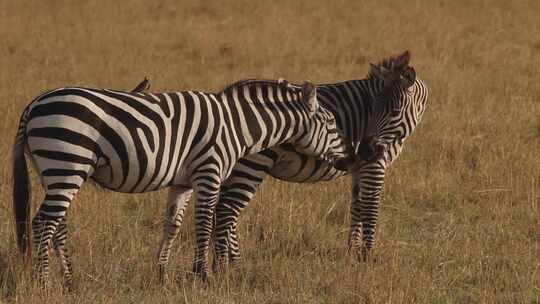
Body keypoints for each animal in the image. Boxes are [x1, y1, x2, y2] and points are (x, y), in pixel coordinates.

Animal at [10, 78, 356, 288]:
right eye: (330, 122)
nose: (350, 159)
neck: (238, 124)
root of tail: (33, 104)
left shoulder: (184, 182)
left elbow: (173, 225)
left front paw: (161, 274)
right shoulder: (209, 171)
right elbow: (204, 223)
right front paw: (204, 276)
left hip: (55, 170)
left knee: (58, 225)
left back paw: (70, 282)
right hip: (67, 161)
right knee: (43, 223)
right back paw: (44, 283)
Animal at [209, 50, 428, 268]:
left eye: (394, 112)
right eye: (372, 111)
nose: (365, 150)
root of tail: (226, 94)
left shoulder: (360, 167)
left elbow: (356, 206)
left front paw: (353, 253)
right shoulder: (374, 165)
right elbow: (370, 208)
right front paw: (367, 256)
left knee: (220, 211)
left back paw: (229, 262)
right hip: (253, 164)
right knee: (227, 211)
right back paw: (232, 264)